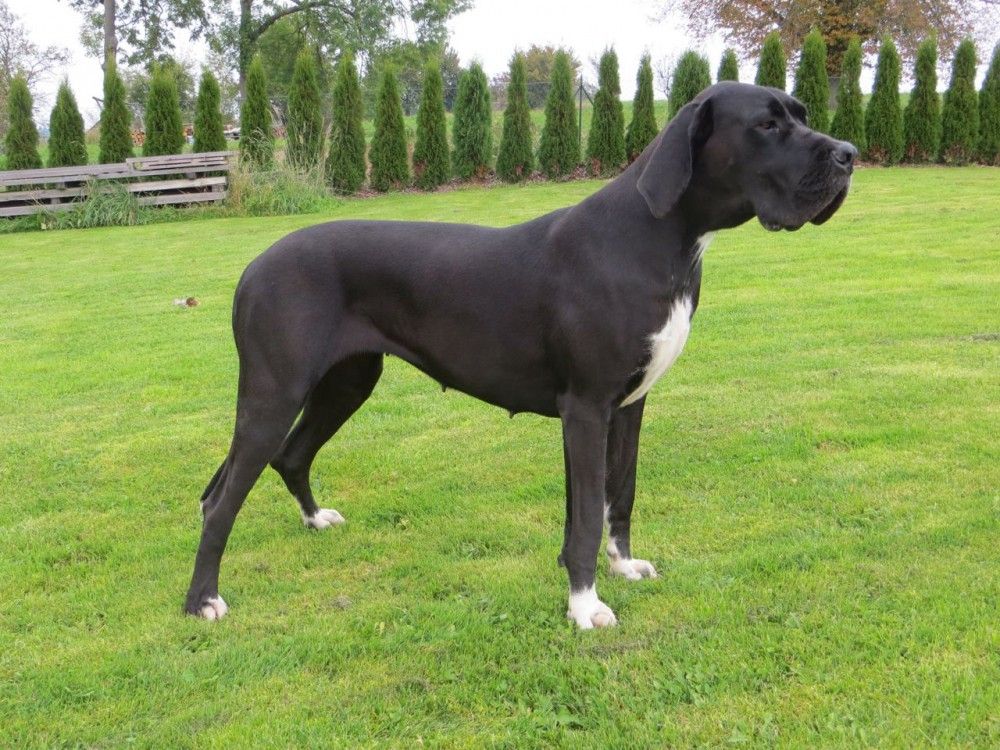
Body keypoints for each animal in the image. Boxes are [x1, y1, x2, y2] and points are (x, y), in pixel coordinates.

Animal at [185, 82, 856, 628]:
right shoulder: (586, 407)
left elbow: (618, 494)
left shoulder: (628, 405)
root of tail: (252, 267)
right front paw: (585, 607)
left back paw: (313, 520)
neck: (659, 238)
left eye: (799, 115)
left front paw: (623, 567)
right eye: (767, 125)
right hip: (275, 392)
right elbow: (586, 515)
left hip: (347, 382)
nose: (849, 154)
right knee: (221, 500)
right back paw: (202, 601)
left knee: (291, 455)